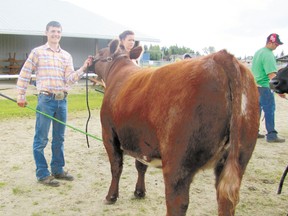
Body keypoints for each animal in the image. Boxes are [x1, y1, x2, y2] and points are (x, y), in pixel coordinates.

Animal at [91, 39, 260, 216]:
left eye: (100, 53)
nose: (90, 59)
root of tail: (221, 57)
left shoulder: (108, 133)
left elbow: (116, 167)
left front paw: (111, 196)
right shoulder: (141, 141)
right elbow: (141, 166)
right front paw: (139, 192)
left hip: (177, 161)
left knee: (177, 202)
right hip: (240, 157)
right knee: (226, 201)